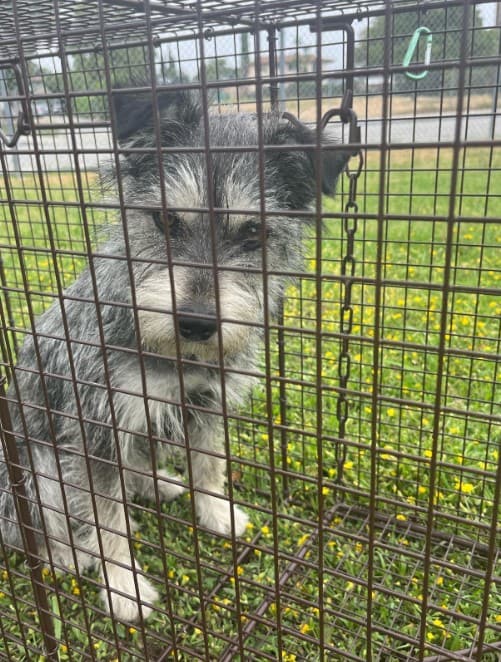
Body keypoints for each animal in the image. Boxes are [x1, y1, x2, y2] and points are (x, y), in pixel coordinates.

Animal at [0, 87, 348, 624]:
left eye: (254, 233)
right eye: (165, 219)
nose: (199, 324)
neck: (171, 353)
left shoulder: (204, 401)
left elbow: (208, 466)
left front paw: (216, 513)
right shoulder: (96, 432)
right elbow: (106, 520)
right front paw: (122, 586)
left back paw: (158, 483)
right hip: (35, 471)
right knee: (33, 528)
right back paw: (67, 556)